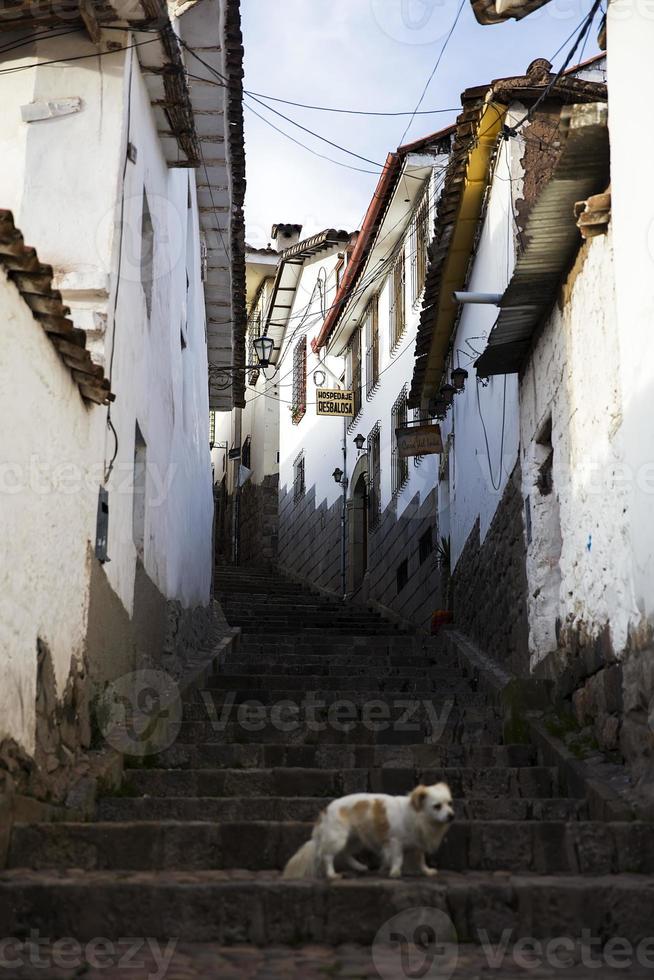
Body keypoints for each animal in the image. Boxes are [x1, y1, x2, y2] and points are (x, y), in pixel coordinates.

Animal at [282, 780, 456, 880]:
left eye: (450, 804)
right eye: (437, 806)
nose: (451, 816)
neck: (418, 814)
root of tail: (325, 811)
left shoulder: (418, 845)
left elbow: (421, 861)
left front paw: (427, 872)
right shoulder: (394, 842)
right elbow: (398, 858)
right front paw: (394, 872)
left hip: (355, 839)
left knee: (345, 854)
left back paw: (360, 867)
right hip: (338, 838)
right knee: (328, 856)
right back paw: (332, 875)